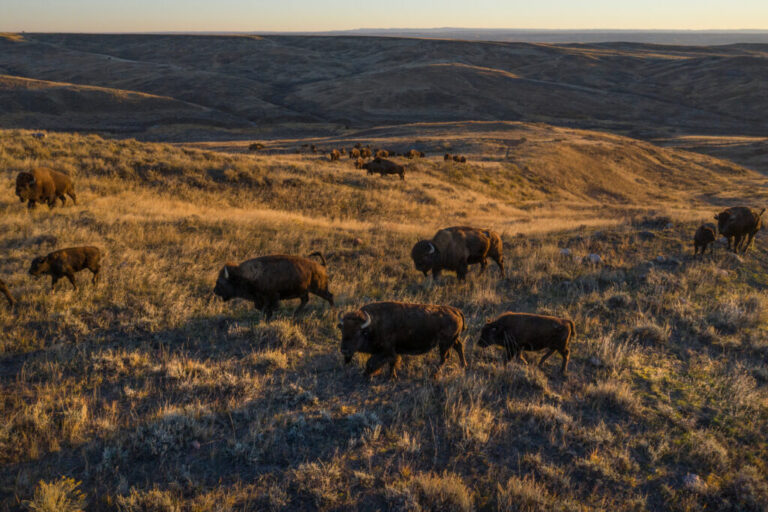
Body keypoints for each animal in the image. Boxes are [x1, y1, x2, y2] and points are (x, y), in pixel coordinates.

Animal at [338, 301, 466, 379]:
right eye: (343, 331)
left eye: (358, 333)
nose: (344, 350)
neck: (373, 325)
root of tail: (456, 311)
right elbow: (388, 362)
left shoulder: (388, 350)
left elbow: (380, 362)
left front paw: (388, 377)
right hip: (451, 340)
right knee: (459, 347)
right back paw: (464, 365)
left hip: (445, 343)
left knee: (444, 357)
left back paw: (433, 375)